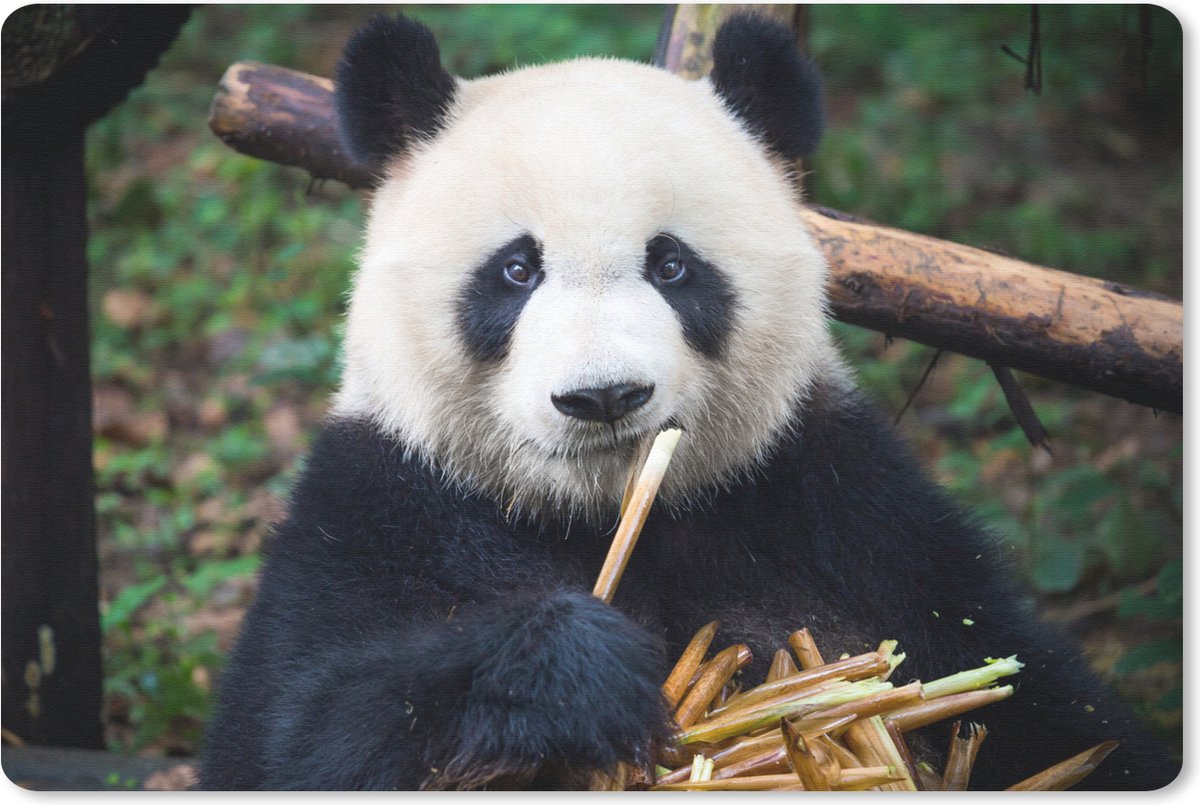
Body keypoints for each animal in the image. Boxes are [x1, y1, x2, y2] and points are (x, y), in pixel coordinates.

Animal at [197, 13, 1178, 791]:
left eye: (671, 264)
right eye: (516, 270)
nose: (603, 396)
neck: (605, 514)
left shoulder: (843, 508)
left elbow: (1038, 704)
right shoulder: (380, 510)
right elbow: (295, 736)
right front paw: (573, 671)